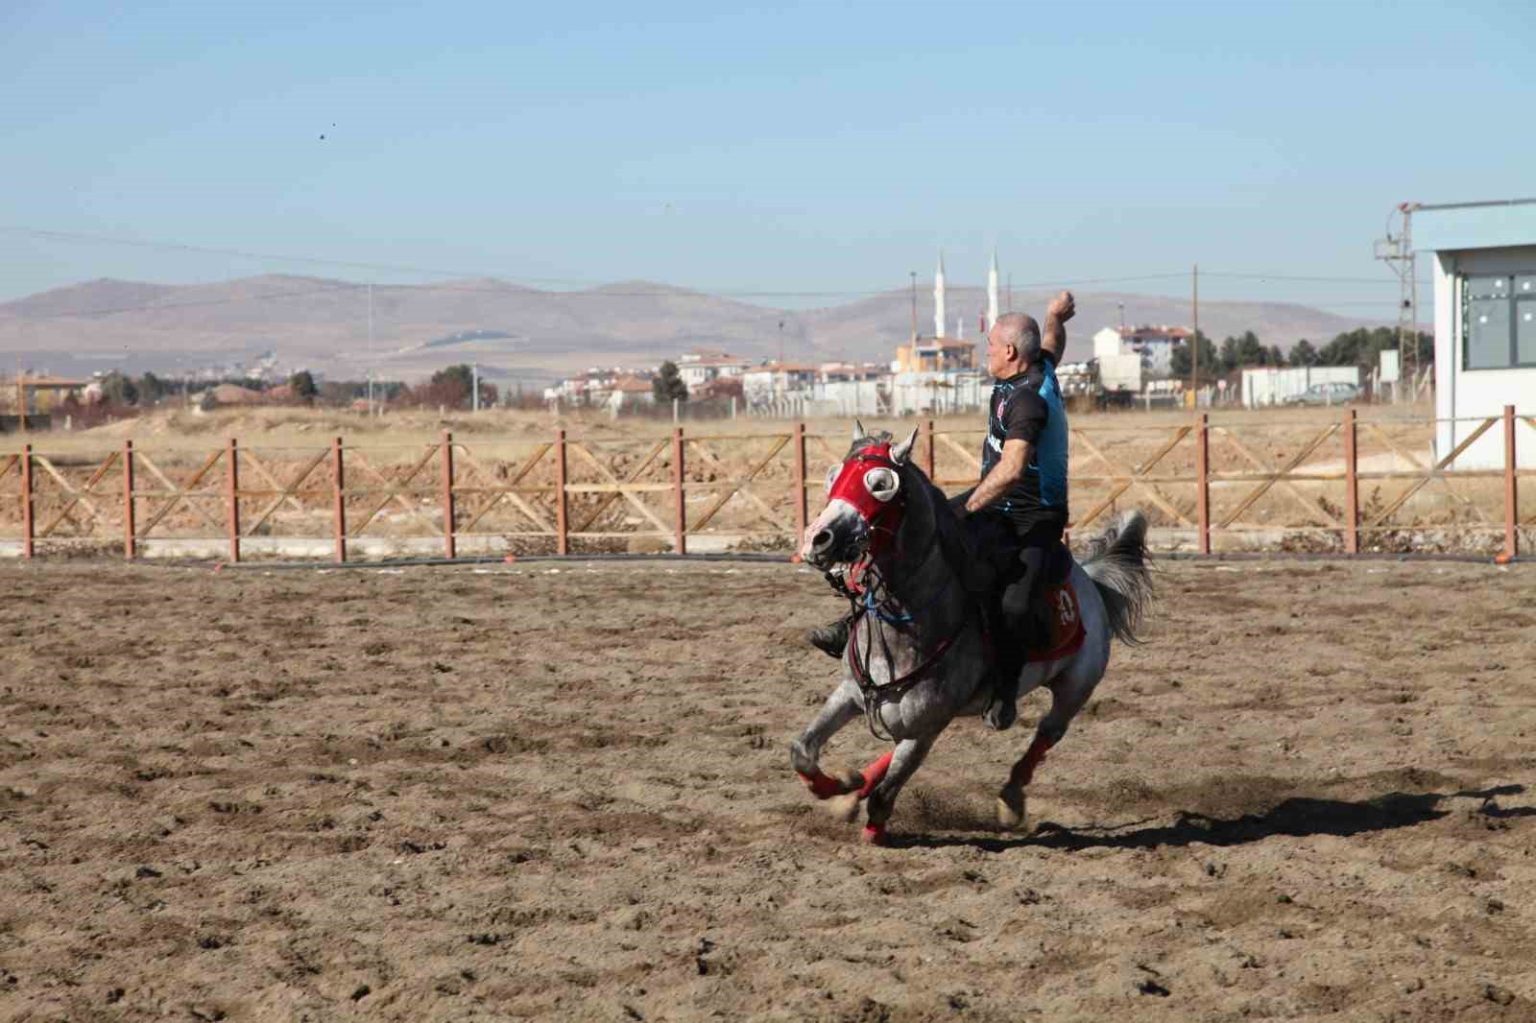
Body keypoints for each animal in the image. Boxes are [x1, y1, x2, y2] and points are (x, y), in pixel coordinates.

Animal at [789, 421, 1153, 845]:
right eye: (834, 477)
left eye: (880, 483)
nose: (816, 539)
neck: (910, 625)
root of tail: (1091, 581)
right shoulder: (851, 694)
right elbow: (802, 750)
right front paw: (835, 788)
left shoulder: (927, 727)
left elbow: (884, 797)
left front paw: (870, 821)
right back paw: (853, 790)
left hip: (1075, 687)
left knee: (1048, 732)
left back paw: (1010, 799)